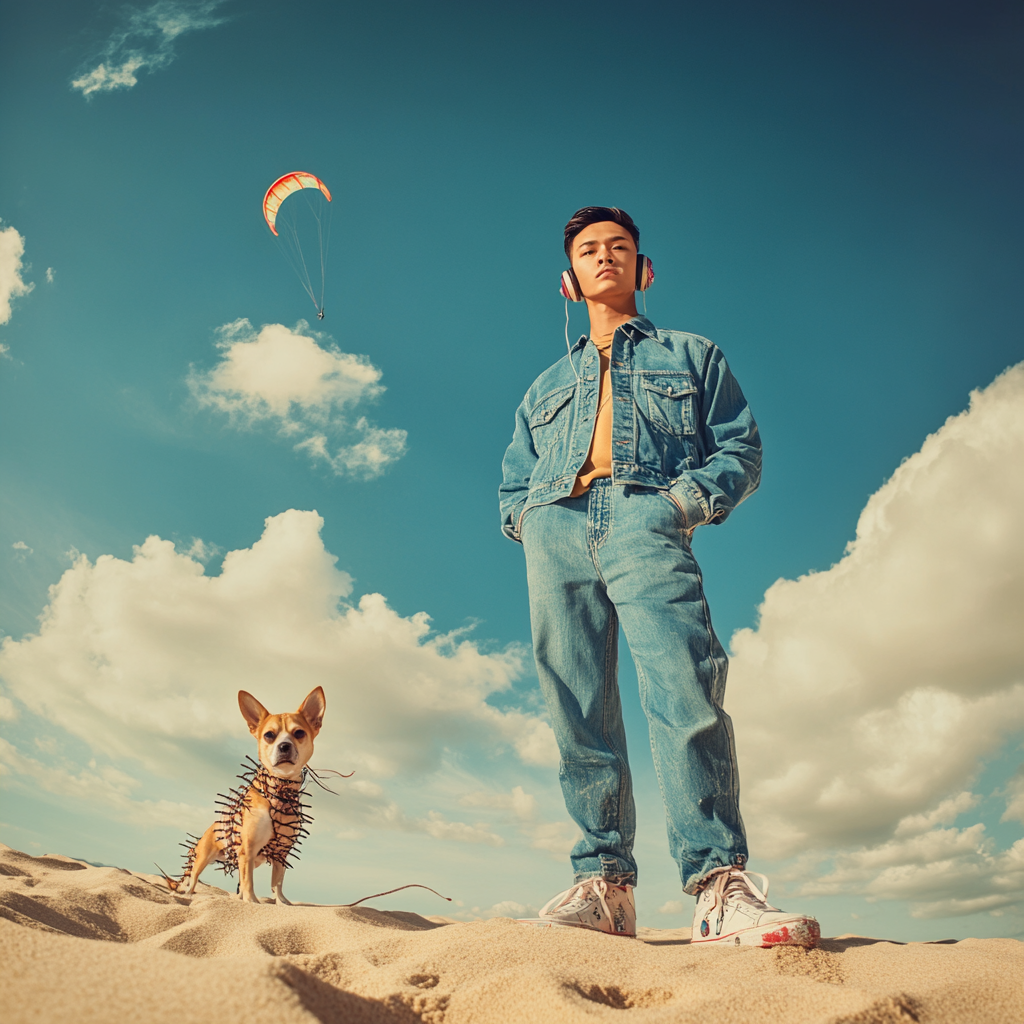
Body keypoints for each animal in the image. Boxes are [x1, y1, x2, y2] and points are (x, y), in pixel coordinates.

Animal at [169, 688, 325, 905]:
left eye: (299, 733)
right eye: (269, 735)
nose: (284, 746)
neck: (279, 792)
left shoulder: (281, 852)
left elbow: (277, 883)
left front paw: (282, 903)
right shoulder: (248, 850)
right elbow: (248, 881)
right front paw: (252, 901)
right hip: (202, 859)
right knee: (193, 880)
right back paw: (187, 895)